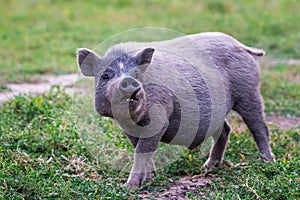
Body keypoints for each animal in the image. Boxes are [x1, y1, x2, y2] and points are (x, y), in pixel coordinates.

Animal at [77, 31, 274, 189]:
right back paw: (208, 167)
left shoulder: (159, 118)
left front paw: (130, 187)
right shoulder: (128, 129)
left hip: (249, 92)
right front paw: (148, 179)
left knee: (260, 128)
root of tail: (241, 45)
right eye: (105, 76)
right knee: (225, 129)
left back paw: (268, 162)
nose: (128, 81)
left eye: (136, 74)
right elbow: (140, 150)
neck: (133, 121)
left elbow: (142, 151)